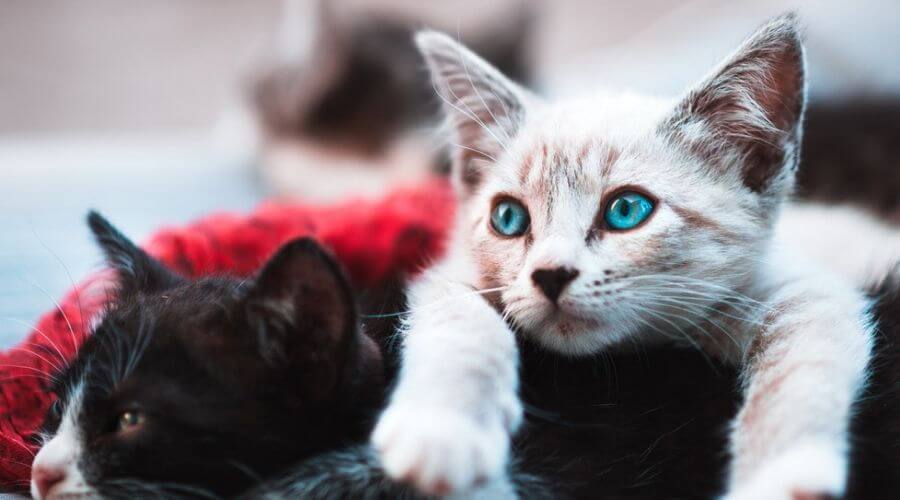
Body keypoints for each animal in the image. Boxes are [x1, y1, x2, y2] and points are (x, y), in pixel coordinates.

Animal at [374, 14, 880, 500]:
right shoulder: (450, 273)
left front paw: (777, 475)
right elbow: (459, 320)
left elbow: (800, 373)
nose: (551, 275)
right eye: (508, 217)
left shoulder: (803, 289)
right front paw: (441, 429)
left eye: (626, 210)